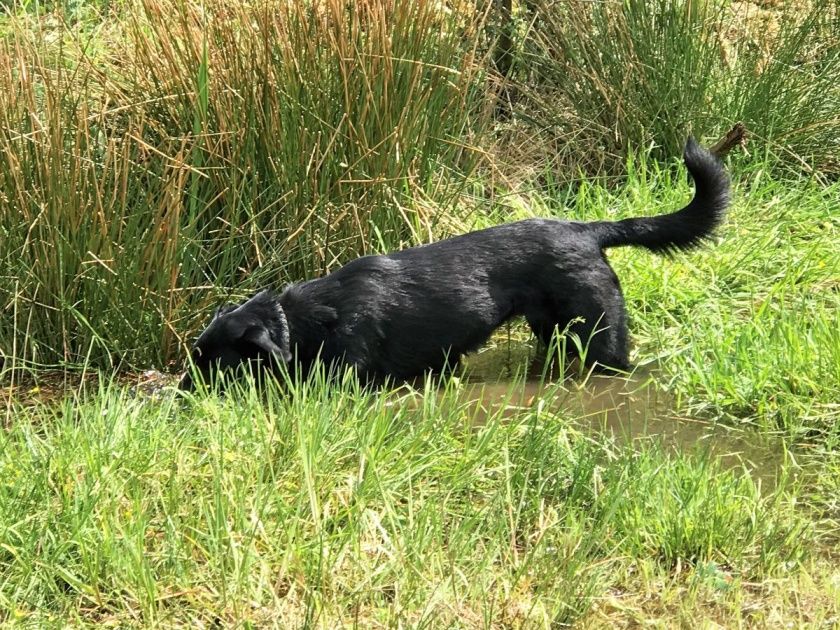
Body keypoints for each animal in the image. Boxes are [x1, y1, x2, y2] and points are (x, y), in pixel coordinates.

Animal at [179, 138, 728, 390]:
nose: (182, 392)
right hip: (549, 327)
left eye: (213, 363)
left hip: (600, 335)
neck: (303, 320)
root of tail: (587, 230)